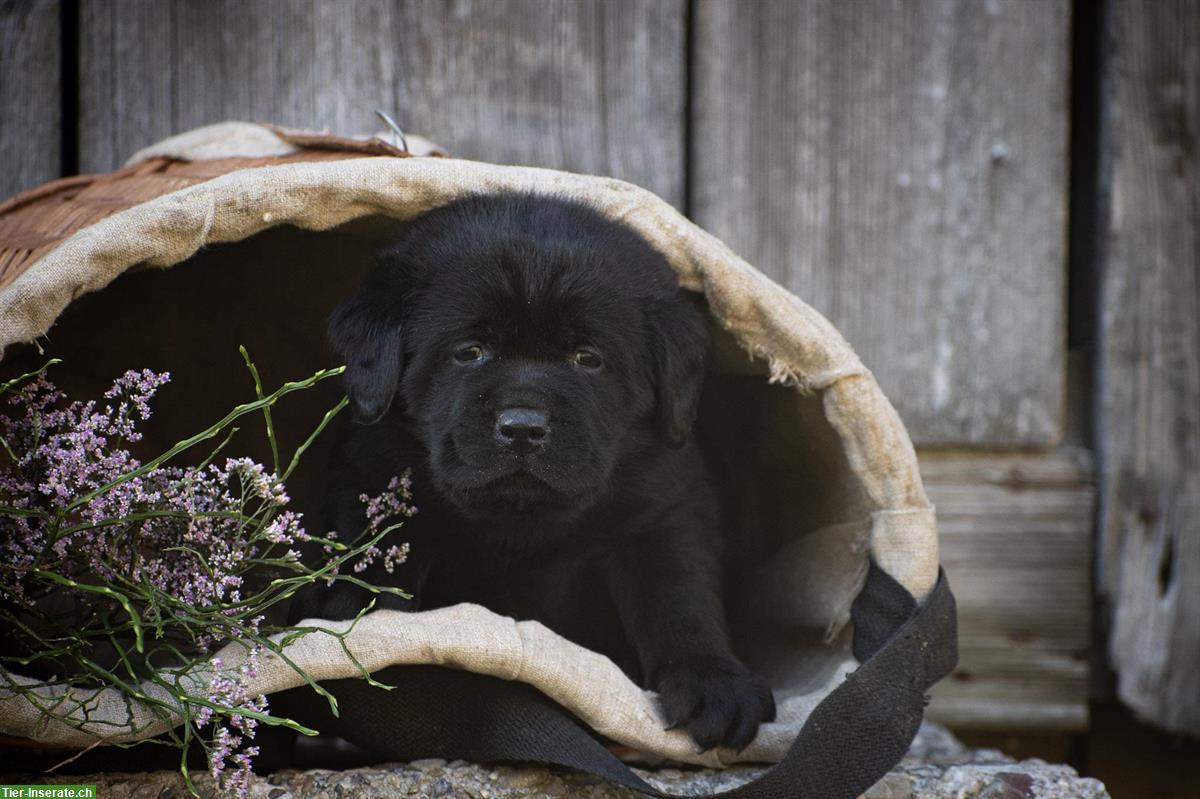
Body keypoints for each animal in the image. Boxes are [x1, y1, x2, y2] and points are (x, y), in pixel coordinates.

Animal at [291, 193, 777, 748]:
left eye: (587, 358)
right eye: (469, 352)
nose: (522, 428)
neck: (519, 521)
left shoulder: (663, 510)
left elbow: (678, 596)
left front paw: (713, 680)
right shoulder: (369, 473)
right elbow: (371, 556)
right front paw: (345, 619)